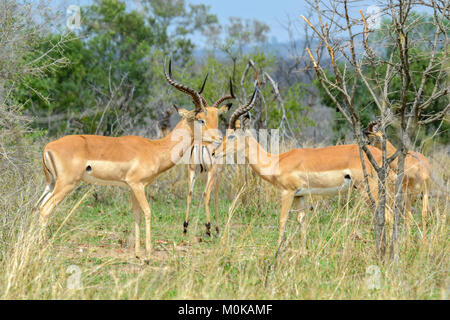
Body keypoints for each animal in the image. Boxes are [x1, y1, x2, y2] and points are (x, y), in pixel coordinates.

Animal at [33, 60, 221, 262]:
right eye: (201, 119)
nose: (219, 138)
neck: (155, 148)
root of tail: (48, 147)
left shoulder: (133, 187)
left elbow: (136, 215)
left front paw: (138, 253)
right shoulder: (138, 185)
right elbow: (147, 212)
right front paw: (147, 254)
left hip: (52, 184)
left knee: (37, 207)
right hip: (66, 184)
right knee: (45, 209)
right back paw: (43, 250)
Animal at [183, 79, 234, 236]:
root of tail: (201, 146)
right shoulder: (218, 173)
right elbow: (216, 196)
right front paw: (217, 228)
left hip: (192, 170)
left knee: (189, 193)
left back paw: (185, 227)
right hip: (211, 172)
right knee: (207, 194)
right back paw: (209, 228)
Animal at [214, 89, 394, 251]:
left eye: (232, 135)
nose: (214, 152)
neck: (276, 161)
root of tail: (382, 156)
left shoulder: (287, 192)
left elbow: (283, 220)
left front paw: (277, 252)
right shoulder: (300, 195)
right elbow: (302, 221)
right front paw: (302, 252)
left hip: (369, 189)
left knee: (388, 215)